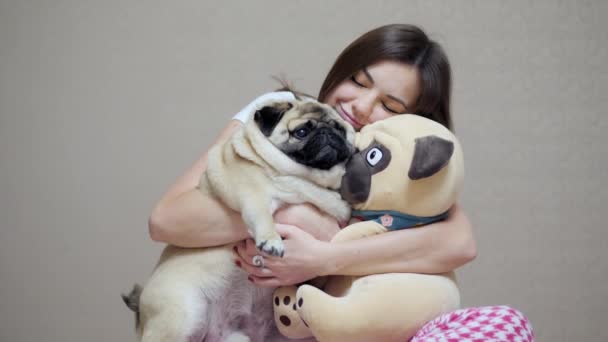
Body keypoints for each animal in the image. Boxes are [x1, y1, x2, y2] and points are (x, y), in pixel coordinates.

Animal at [123, 97, 356, 342]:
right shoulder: (252, 195)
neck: (304, 178)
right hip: (182, 316)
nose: (328, 133)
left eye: (340, 129)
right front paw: (271, 241)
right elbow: (262, 216)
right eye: (301, 131)